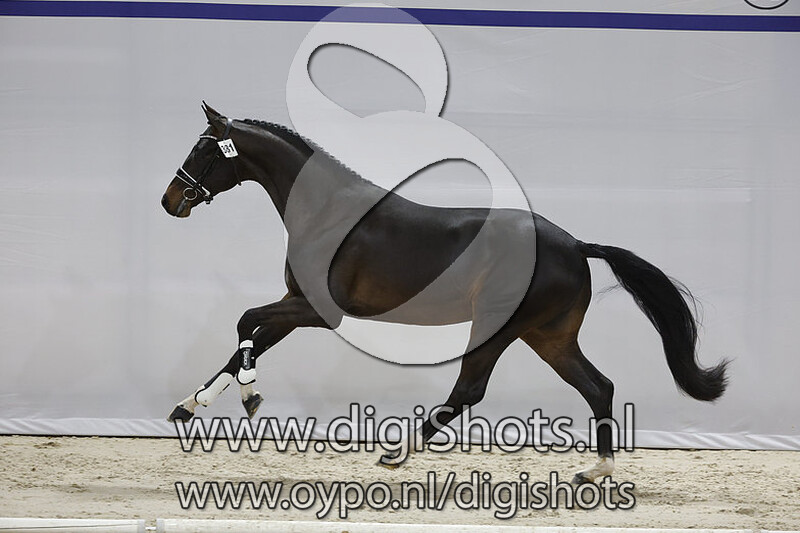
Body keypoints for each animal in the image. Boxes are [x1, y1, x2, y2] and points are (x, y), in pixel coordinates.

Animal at [161, 103, 728, 484]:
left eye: (203, 149)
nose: (170, 201)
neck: (328, 213)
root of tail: (574, 245)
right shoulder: (296, 306)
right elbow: (248, 340)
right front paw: (189, 406)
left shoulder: (321, 312)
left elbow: (244, 322)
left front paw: (249, 396)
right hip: (549, 337)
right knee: (598, 387)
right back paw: (596, 471)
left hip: (501, 329)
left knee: (470, 391)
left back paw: (398, 453)